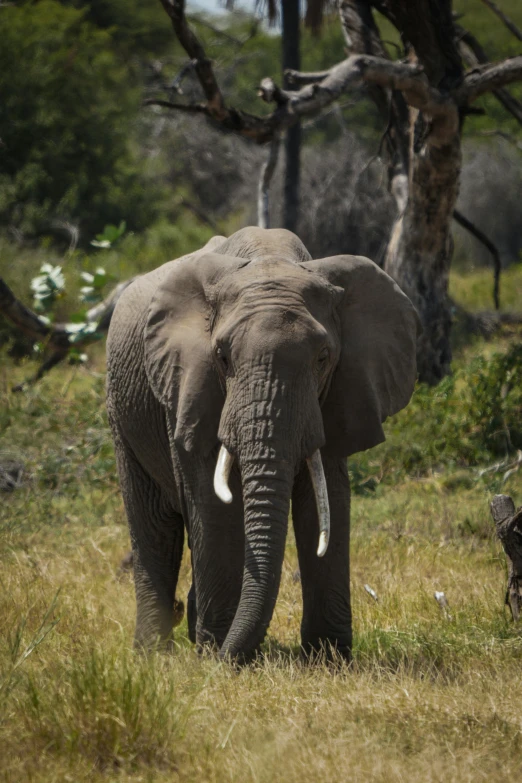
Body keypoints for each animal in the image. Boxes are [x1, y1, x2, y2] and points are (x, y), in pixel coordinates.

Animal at [106, 225, 418, 660]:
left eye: (323, 358)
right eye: (222, 357)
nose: (227, 656)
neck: (271, 257)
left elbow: (325, 499)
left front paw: (329, 659)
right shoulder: (189, 386)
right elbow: (212, 501)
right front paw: (216, 654)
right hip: (122, 413)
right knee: (154, 527)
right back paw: (154, 653)